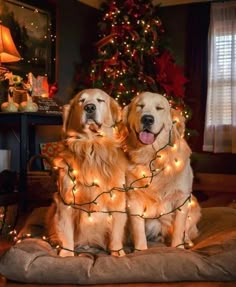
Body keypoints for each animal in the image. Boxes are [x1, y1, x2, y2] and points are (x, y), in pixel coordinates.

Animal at [46, 89, 127, 258]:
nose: (89, 107)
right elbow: (67, 233)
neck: (91, 146)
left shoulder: (117, 200)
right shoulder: (66, 201)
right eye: (81, 101)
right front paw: (66, 254)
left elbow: (116, 233)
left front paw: (118, 253)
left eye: (100, 100)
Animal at [123, 92, 201, 252]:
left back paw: (187, 242)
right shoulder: (134, 199)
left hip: (194, 205)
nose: (147, 119)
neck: (152, 158)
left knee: (188, 230)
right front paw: (140, 250)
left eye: (159, 108)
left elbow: (179, 228)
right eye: (140, 106)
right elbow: (138, 230)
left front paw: (178, 247)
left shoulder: (182, 198)